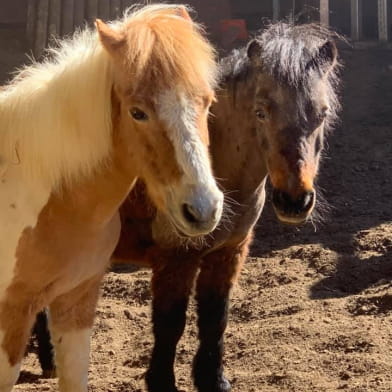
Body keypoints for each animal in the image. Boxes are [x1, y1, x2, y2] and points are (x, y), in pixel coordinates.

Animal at [34, 22, 340, 392]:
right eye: (261, 111)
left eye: (322, 113)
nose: (294, 200)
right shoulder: (176, 258)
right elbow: (170, 325)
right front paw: (162, 382)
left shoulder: (228, 253)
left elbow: (214, 318)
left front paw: (213, 379)